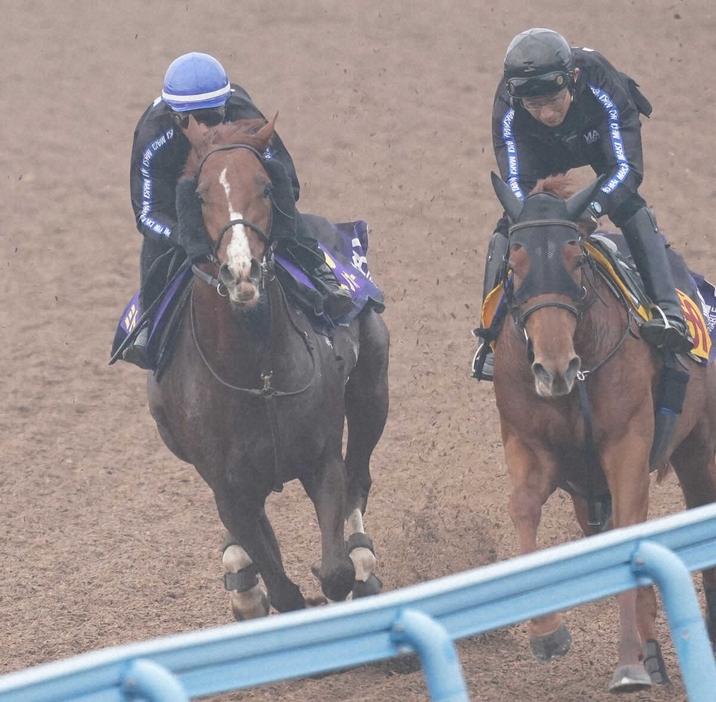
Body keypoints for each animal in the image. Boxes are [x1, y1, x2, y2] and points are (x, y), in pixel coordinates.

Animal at [147, 115, 392, 620]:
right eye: (201, 195)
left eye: (264, 186)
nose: (242, 271)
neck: (255, 372)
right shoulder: (228, 488)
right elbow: (279, 584)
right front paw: (258, 592)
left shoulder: (321, 460)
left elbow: (335, 568)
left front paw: (343, 579)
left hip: (371, 392)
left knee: (359, 475)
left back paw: (364, 562)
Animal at [490, 173, 716, 696]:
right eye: (514, 263)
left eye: (575, 259)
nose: (554, 368)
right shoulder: (538, 451)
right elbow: (523, 507)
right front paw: (547, 634)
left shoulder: (626, 447)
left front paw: (628, 663)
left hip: (701, 449)